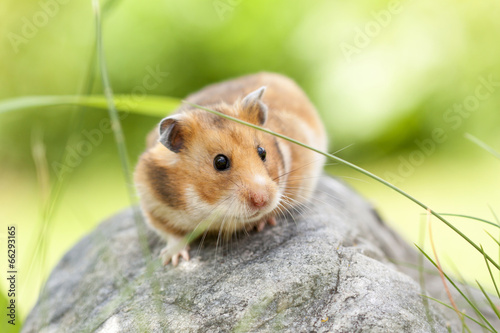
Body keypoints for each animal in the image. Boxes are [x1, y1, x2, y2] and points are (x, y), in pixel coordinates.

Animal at [134, 72, 328, 264]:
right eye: (220, 162)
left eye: (262, 152)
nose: (262, 200)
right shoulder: (152, 203)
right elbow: (170, 233)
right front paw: (173, 260)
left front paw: (261, 223)